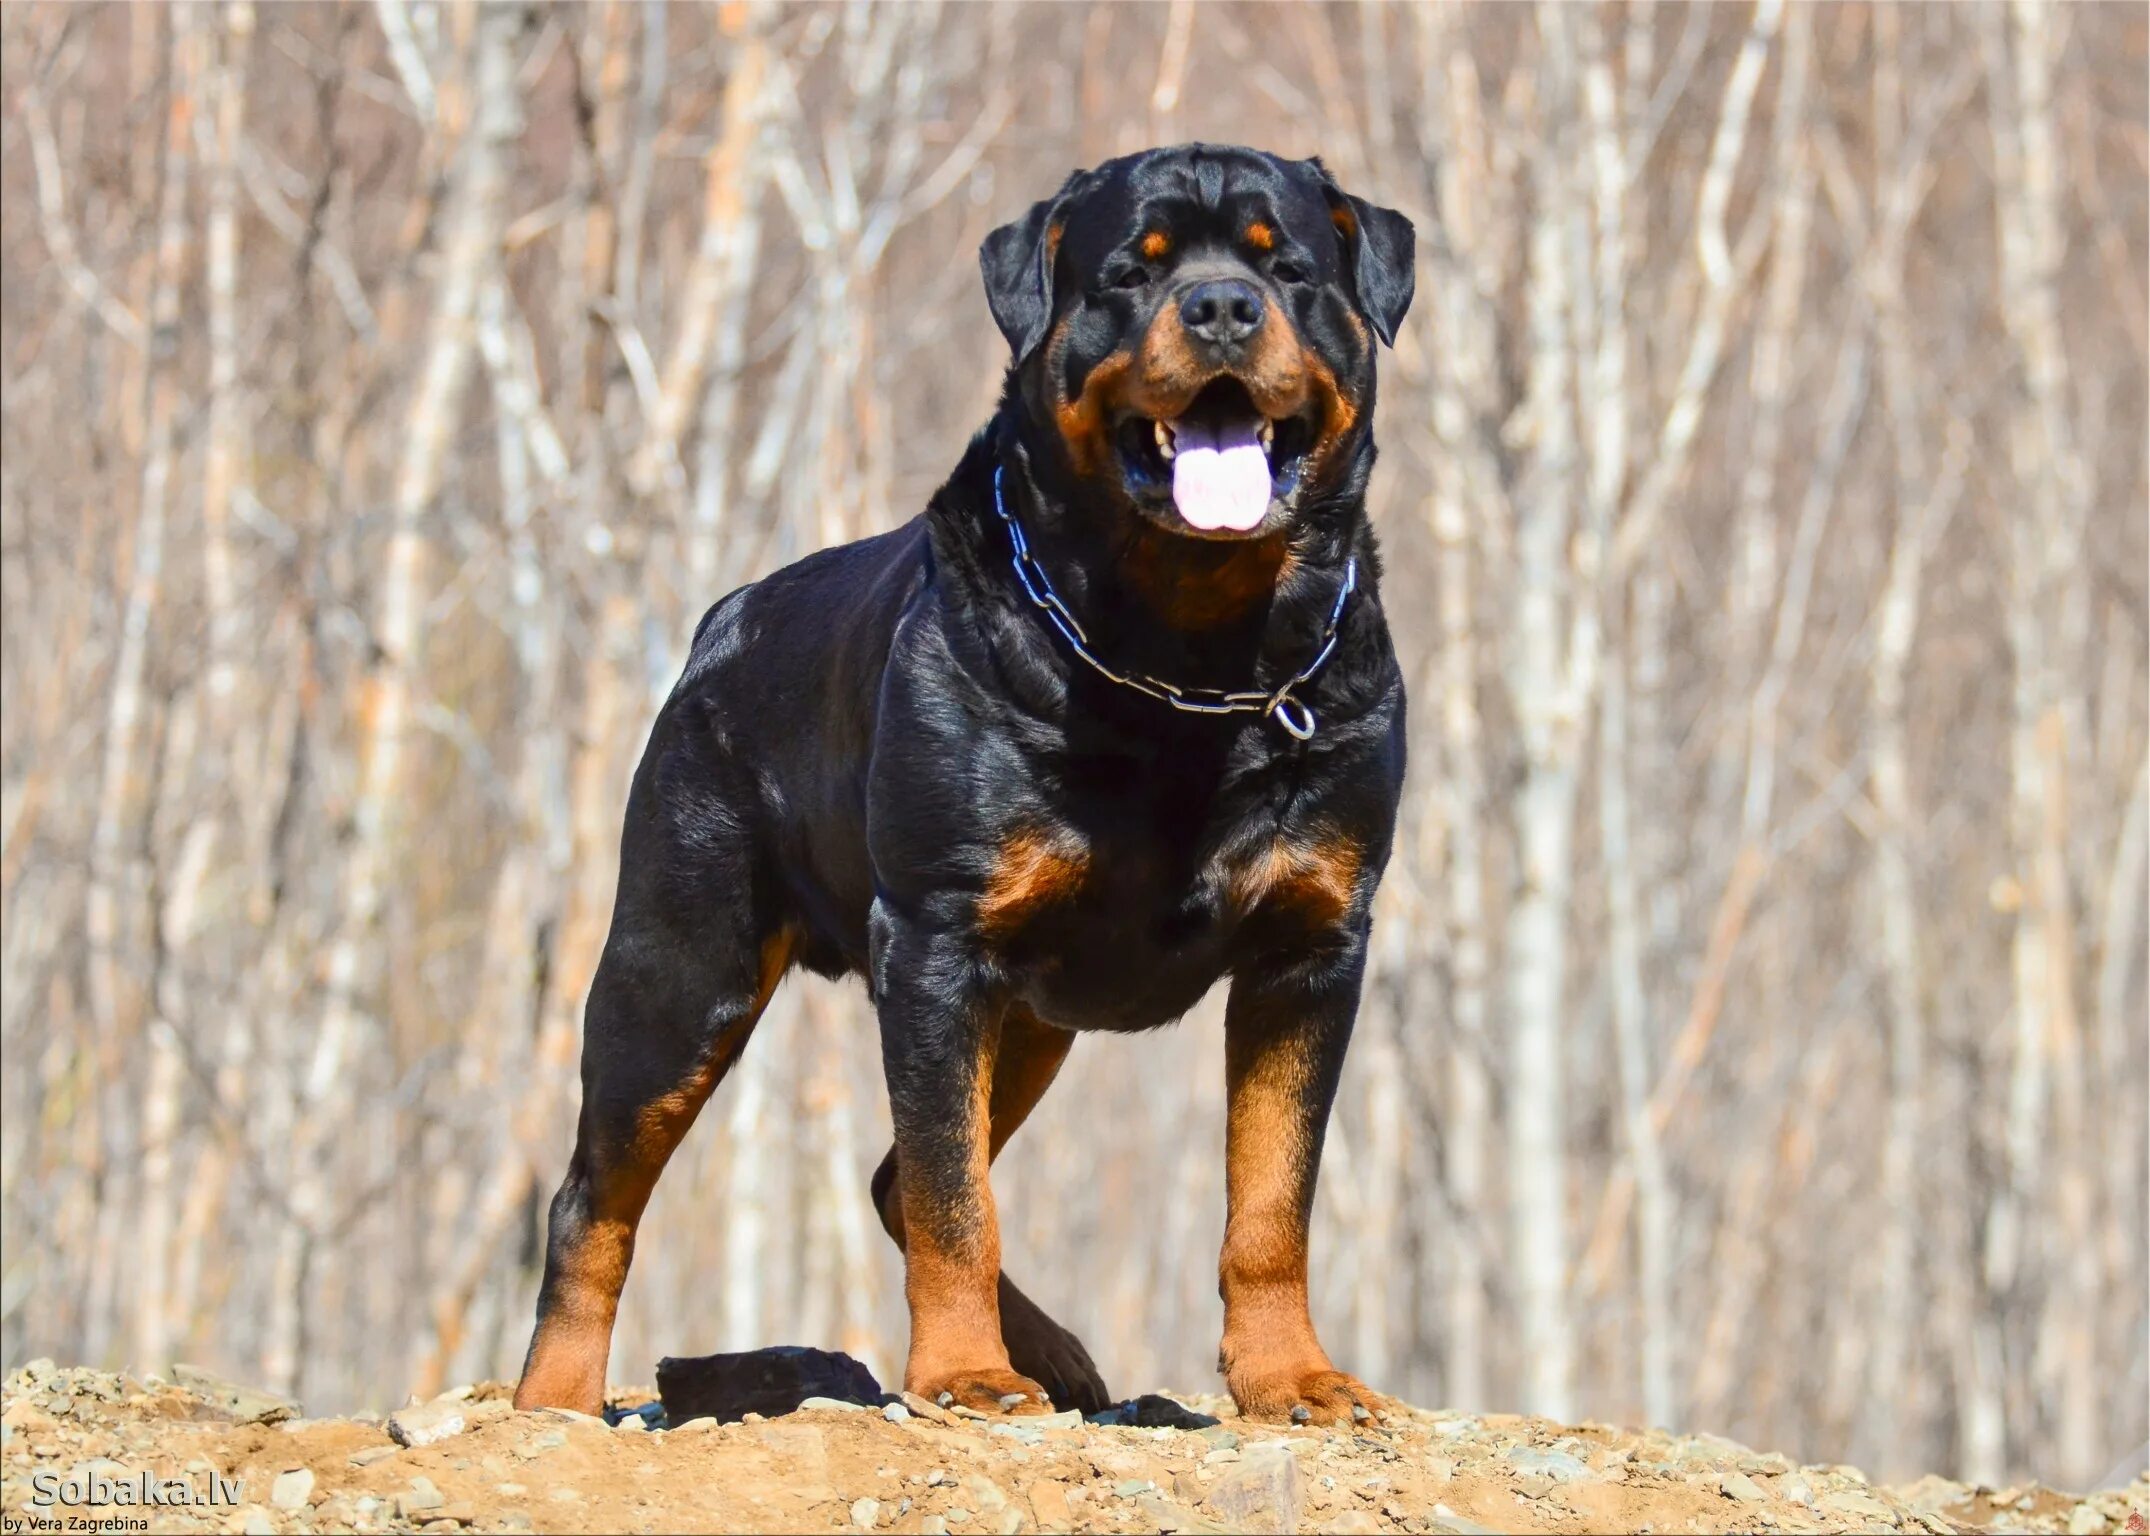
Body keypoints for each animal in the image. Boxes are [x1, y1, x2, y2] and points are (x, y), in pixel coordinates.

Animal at [507, 144, 1410, 1419]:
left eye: (1284, 264)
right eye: (1129, 274)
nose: (1222, 307)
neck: (1188, 659)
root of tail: (720, 622)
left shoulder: (1312, 946)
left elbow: (1271, 1200)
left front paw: (1290, 1374)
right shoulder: (935, 943)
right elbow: (953, 1199)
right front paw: (963, 1374)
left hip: (1025, 1020)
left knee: (891, 1176)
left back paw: (1059, 1353)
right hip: (679, 970)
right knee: (597, 1195)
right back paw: (553, 1394)